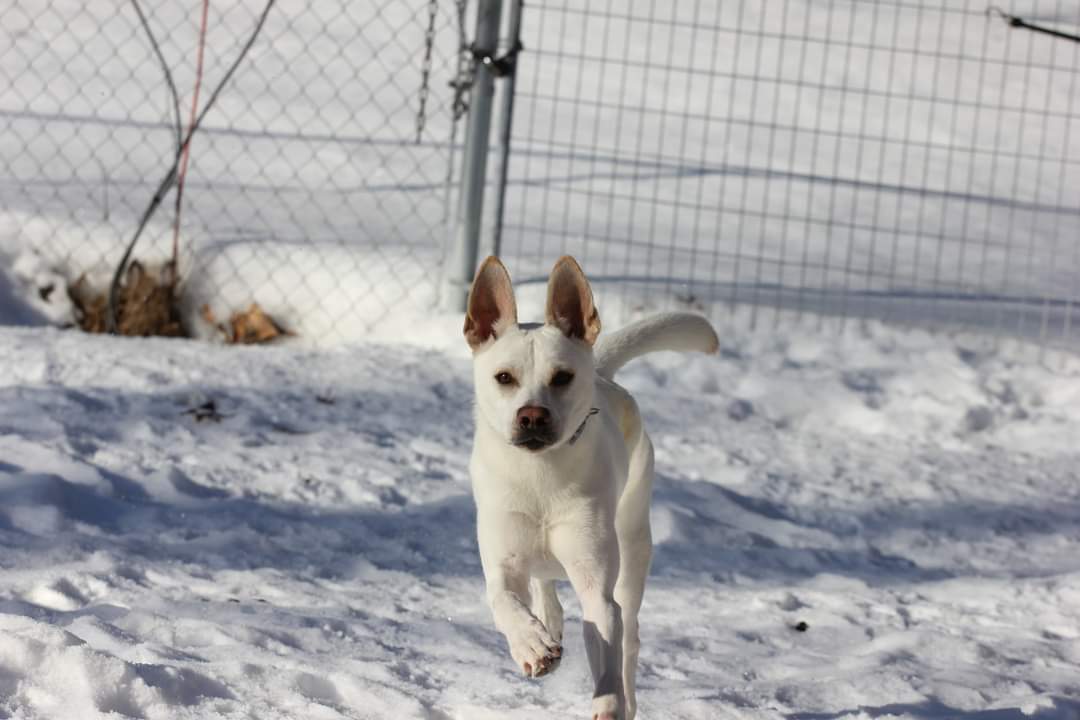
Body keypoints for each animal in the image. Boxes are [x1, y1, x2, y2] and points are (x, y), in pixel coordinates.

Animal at [462, 255, 717, 716]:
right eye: (504, 377)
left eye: (562, 377)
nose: (532, 416)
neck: (540, 474)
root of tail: (602, 372)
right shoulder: (503, 559)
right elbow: (505, 600)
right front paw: (532, 644)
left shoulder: (597, 587)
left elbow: (606, 639)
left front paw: (610, 704)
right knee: (545, 584)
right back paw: (548, 622)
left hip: (633, 543)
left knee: (629, 634)